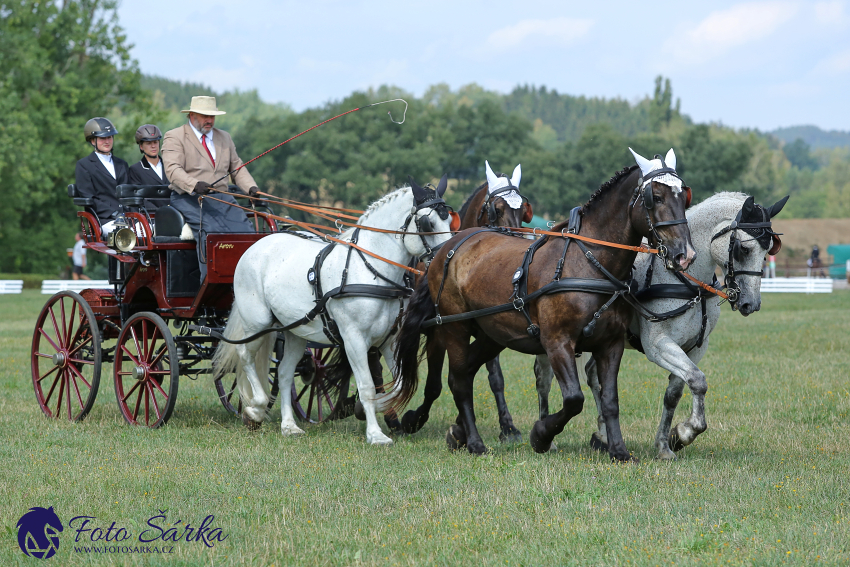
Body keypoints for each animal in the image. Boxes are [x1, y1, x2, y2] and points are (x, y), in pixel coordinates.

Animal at [394, 151, 692, 462]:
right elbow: (574, 399)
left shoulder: (610, 344)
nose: (684, 254)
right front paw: (541, 435)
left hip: (492, 335)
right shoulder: (557, 342)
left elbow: (610, 400)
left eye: (684, 196)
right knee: (460, 381)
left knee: (464, 372)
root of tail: (446, 248)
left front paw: (619, 451)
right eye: (655, 197)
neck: (588, 263)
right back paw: (474, 442)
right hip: (455, 327)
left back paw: (458, 433)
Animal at [536, 193, 788, 460]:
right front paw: (686, 431)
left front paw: (667, 443)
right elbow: (697, 380)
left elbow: (675, 393)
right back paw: (549, 438)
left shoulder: (696, 347)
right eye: (744, 248)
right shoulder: (658, 345)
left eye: (768, 251)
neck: (685, 280)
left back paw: (603, 435)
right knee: (544, 379)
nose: (752, 303)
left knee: (593, 375)